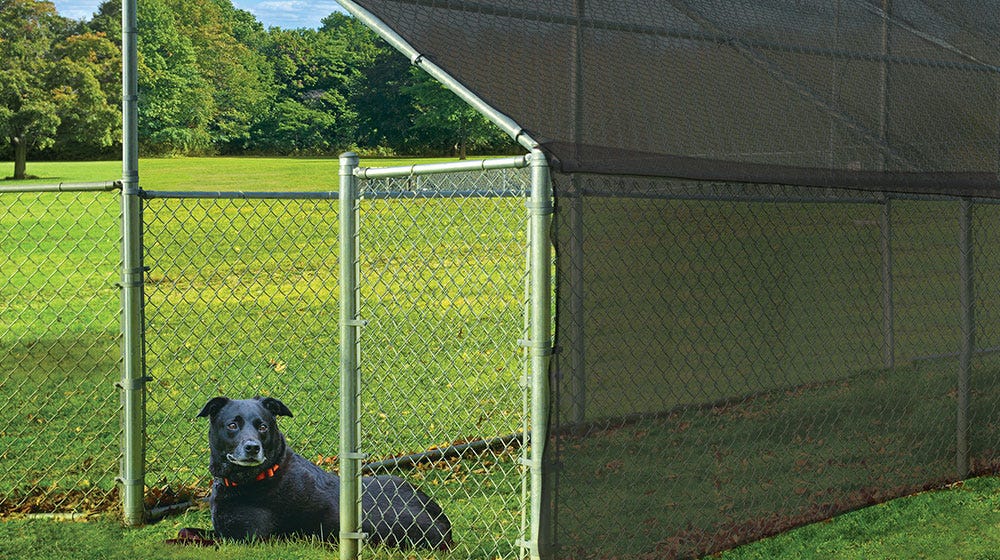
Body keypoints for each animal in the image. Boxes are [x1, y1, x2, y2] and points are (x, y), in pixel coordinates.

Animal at [196, 396, 454, 548]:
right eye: (232, 425)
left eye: (263, 427)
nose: (252, 448)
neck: (266, 473)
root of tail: (443, 524)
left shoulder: (246, 538)